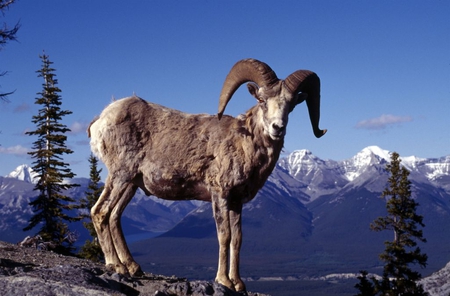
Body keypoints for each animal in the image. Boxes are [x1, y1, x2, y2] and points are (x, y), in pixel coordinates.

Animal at [89, 57, 326, 292]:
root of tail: (99, 121)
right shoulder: (219, 195)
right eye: (262, 100)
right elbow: (224, 235)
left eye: (291, 105)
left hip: (131, 184)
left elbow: (237, 239)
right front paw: (223, 280)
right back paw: (116, 266)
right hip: (120, 176)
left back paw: (132, 267)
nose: (278, 127)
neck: (244, 143)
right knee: (100, 212)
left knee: (114, 216)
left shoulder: (236, 201)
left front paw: (238, 283)